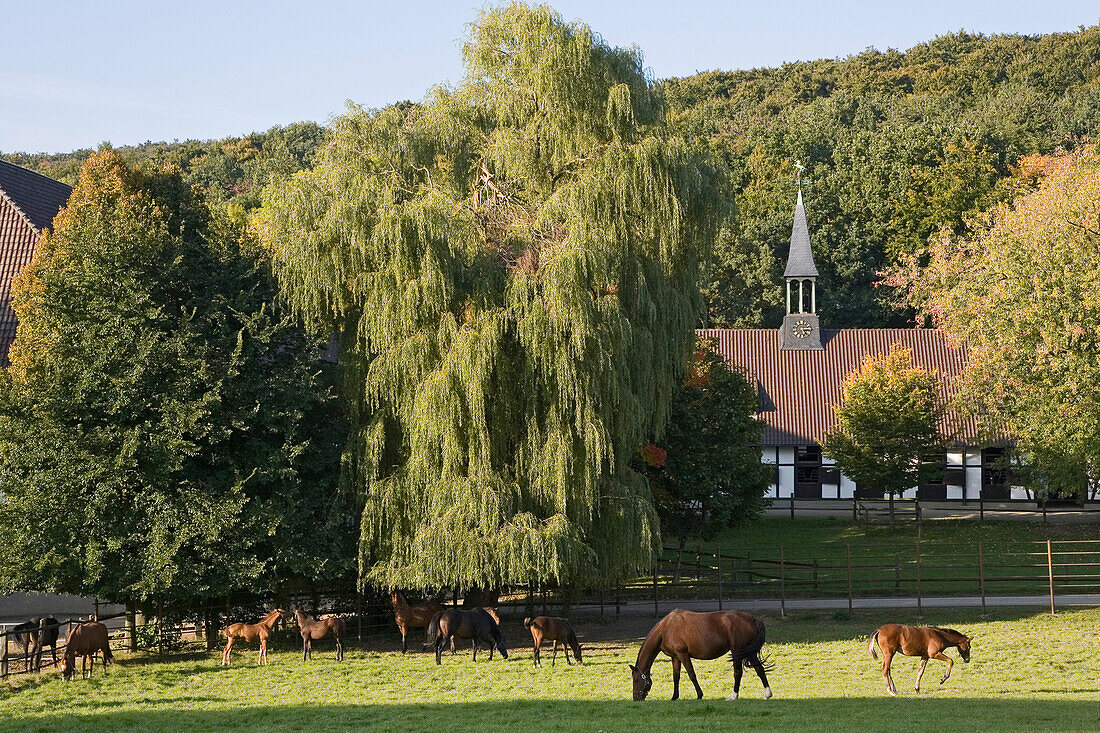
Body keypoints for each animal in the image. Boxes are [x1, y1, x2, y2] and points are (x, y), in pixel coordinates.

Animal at [629, 607, 774, 699]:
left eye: (636, 680)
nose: (636, 698)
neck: (666, 628)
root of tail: (753, 619)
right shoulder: (675, 658)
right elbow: (676, 677)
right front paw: (674, 697)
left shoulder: (683, 655)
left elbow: (692, 675)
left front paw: (699, 695)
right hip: (749, 653)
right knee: (759, 669)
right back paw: (767, 694)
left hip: (738, 652)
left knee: (738, 673)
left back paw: (733, 696)